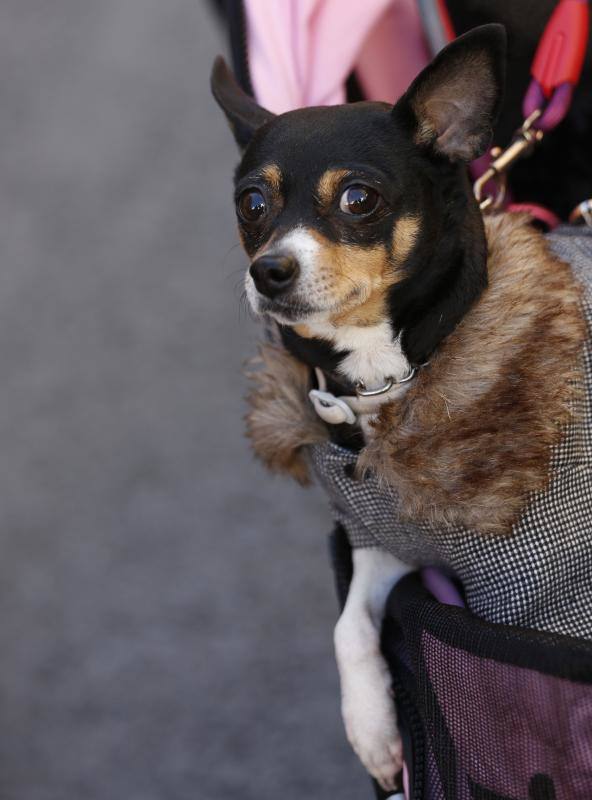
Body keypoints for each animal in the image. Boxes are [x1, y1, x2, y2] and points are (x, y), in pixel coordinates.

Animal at [212, 23, 584, 788]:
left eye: (359, 199)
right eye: (251, 205)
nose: (269, 270)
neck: (390, 379)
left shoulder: (541, 603)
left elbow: (537, 703)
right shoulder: (389, 543)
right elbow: (350, 624)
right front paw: (375, 733)